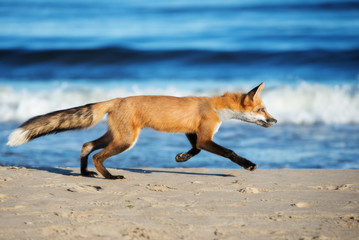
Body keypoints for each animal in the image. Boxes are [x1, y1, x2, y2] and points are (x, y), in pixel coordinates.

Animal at [7, 82, 278, 178]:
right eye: (262, 110)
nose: (275, 121)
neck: (215, 107)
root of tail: (116, 99)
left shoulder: (193, 132)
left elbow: (194, 150)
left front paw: (181, 158)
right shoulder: (204, 136)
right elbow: (228, 151)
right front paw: (248, 164)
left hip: (116, 136)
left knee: (86, 145)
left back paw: (85, 174)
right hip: (126, 141)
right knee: (97, 155)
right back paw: (109, 177)